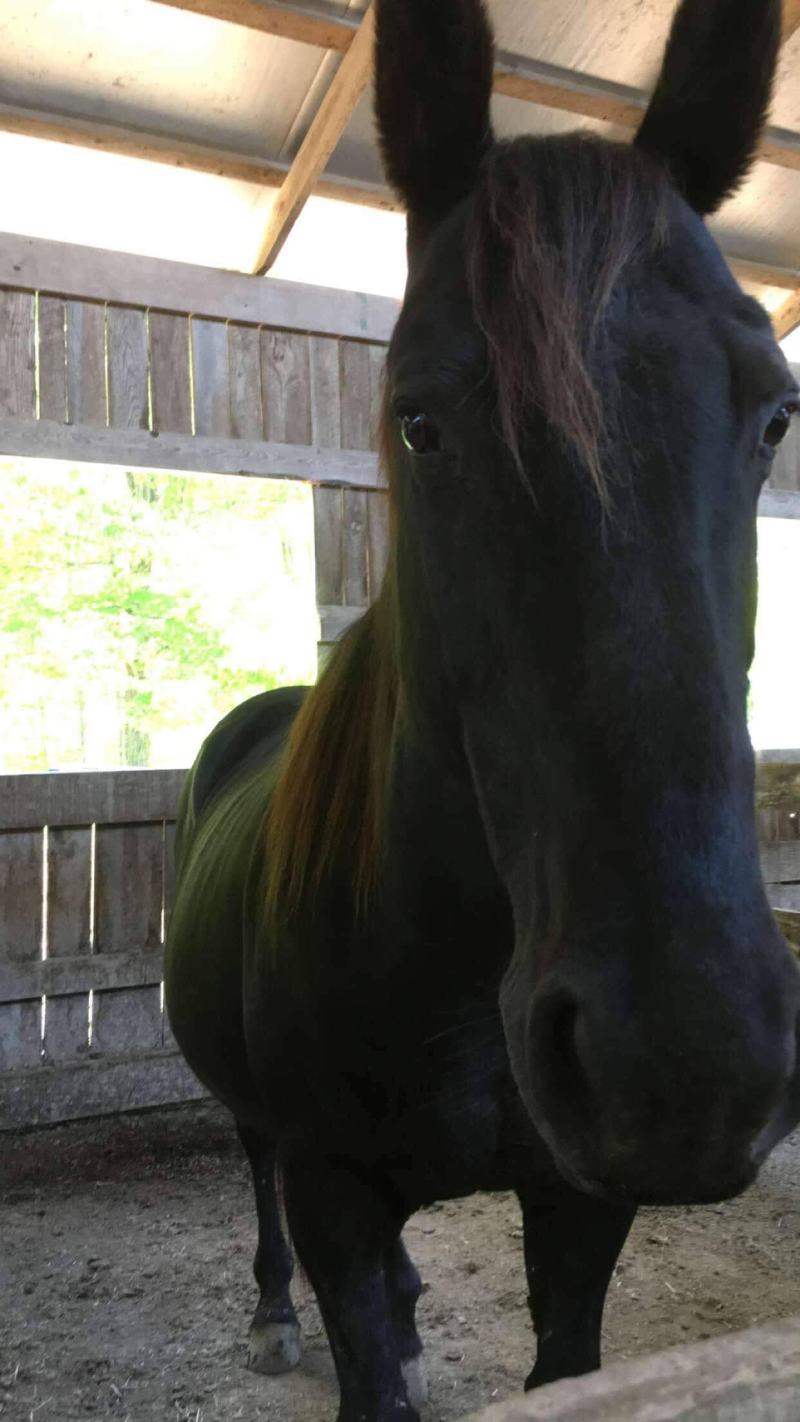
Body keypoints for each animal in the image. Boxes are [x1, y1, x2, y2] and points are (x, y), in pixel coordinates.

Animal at [164, 0, 800, 1416]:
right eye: (417, 420)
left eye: (776, 412)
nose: (680, 1062)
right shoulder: (332, 1196)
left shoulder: (580, 1211)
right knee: (247, 1166)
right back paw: (268, 1313)